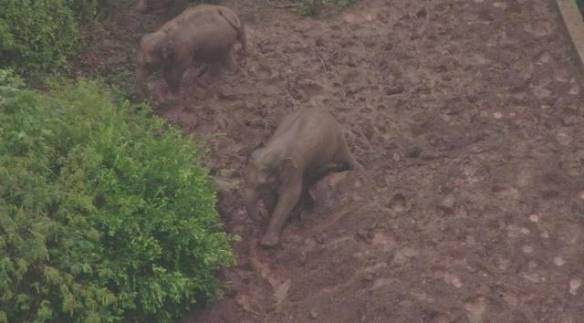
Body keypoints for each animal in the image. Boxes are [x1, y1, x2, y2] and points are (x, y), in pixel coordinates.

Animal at [242, 108, 356, 248]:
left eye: (260, 184)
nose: (261, 215)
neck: (273, 150)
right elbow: (271, 196)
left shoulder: (295, 167)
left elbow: (290, 194)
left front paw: (268, 243)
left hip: (338, 139)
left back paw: (354, 169)